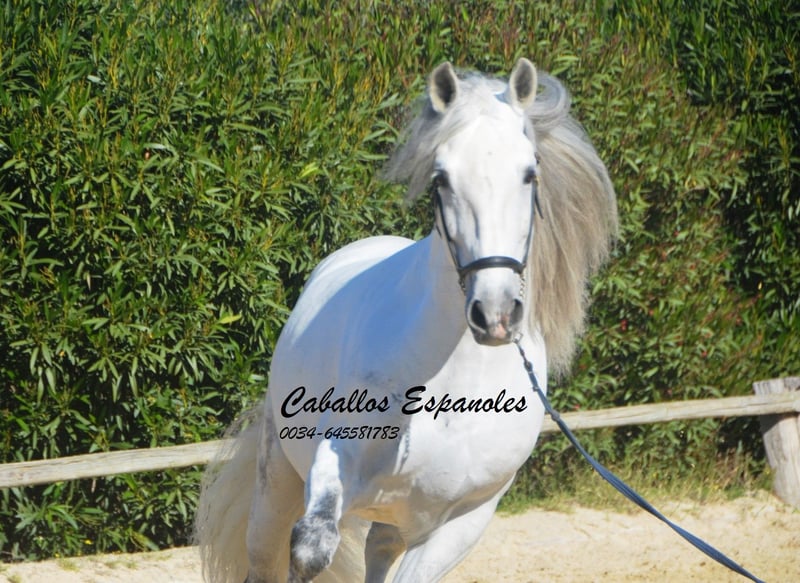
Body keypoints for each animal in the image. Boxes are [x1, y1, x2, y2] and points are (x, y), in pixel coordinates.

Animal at [195, 57, 617, 583]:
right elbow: (310, 549)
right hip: (278, 479)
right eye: (442, 179)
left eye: (529, 173)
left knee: (377, 551)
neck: (456, 387)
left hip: (395, 520)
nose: (495, 314)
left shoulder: (463, 522)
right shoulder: (334, 463)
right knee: (265, 554)